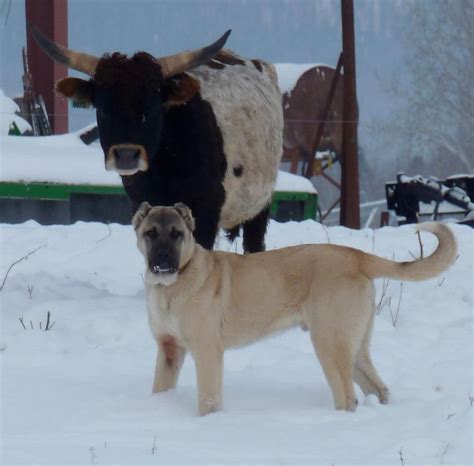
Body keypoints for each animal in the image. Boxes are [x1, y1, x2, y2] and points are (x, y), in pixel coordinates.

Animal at [132, 203, 456, 416]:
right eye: (151, 233)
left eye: (176, 234)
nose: (163, 258)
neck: (171, 286)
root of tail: (356, 256)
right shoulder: (169, 350)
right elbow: (160, 386)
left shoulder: (207, 351)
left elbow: (208, 400)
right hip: (352, 346)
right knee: (378, 389)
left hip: (329, 342)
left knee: (348, 397)